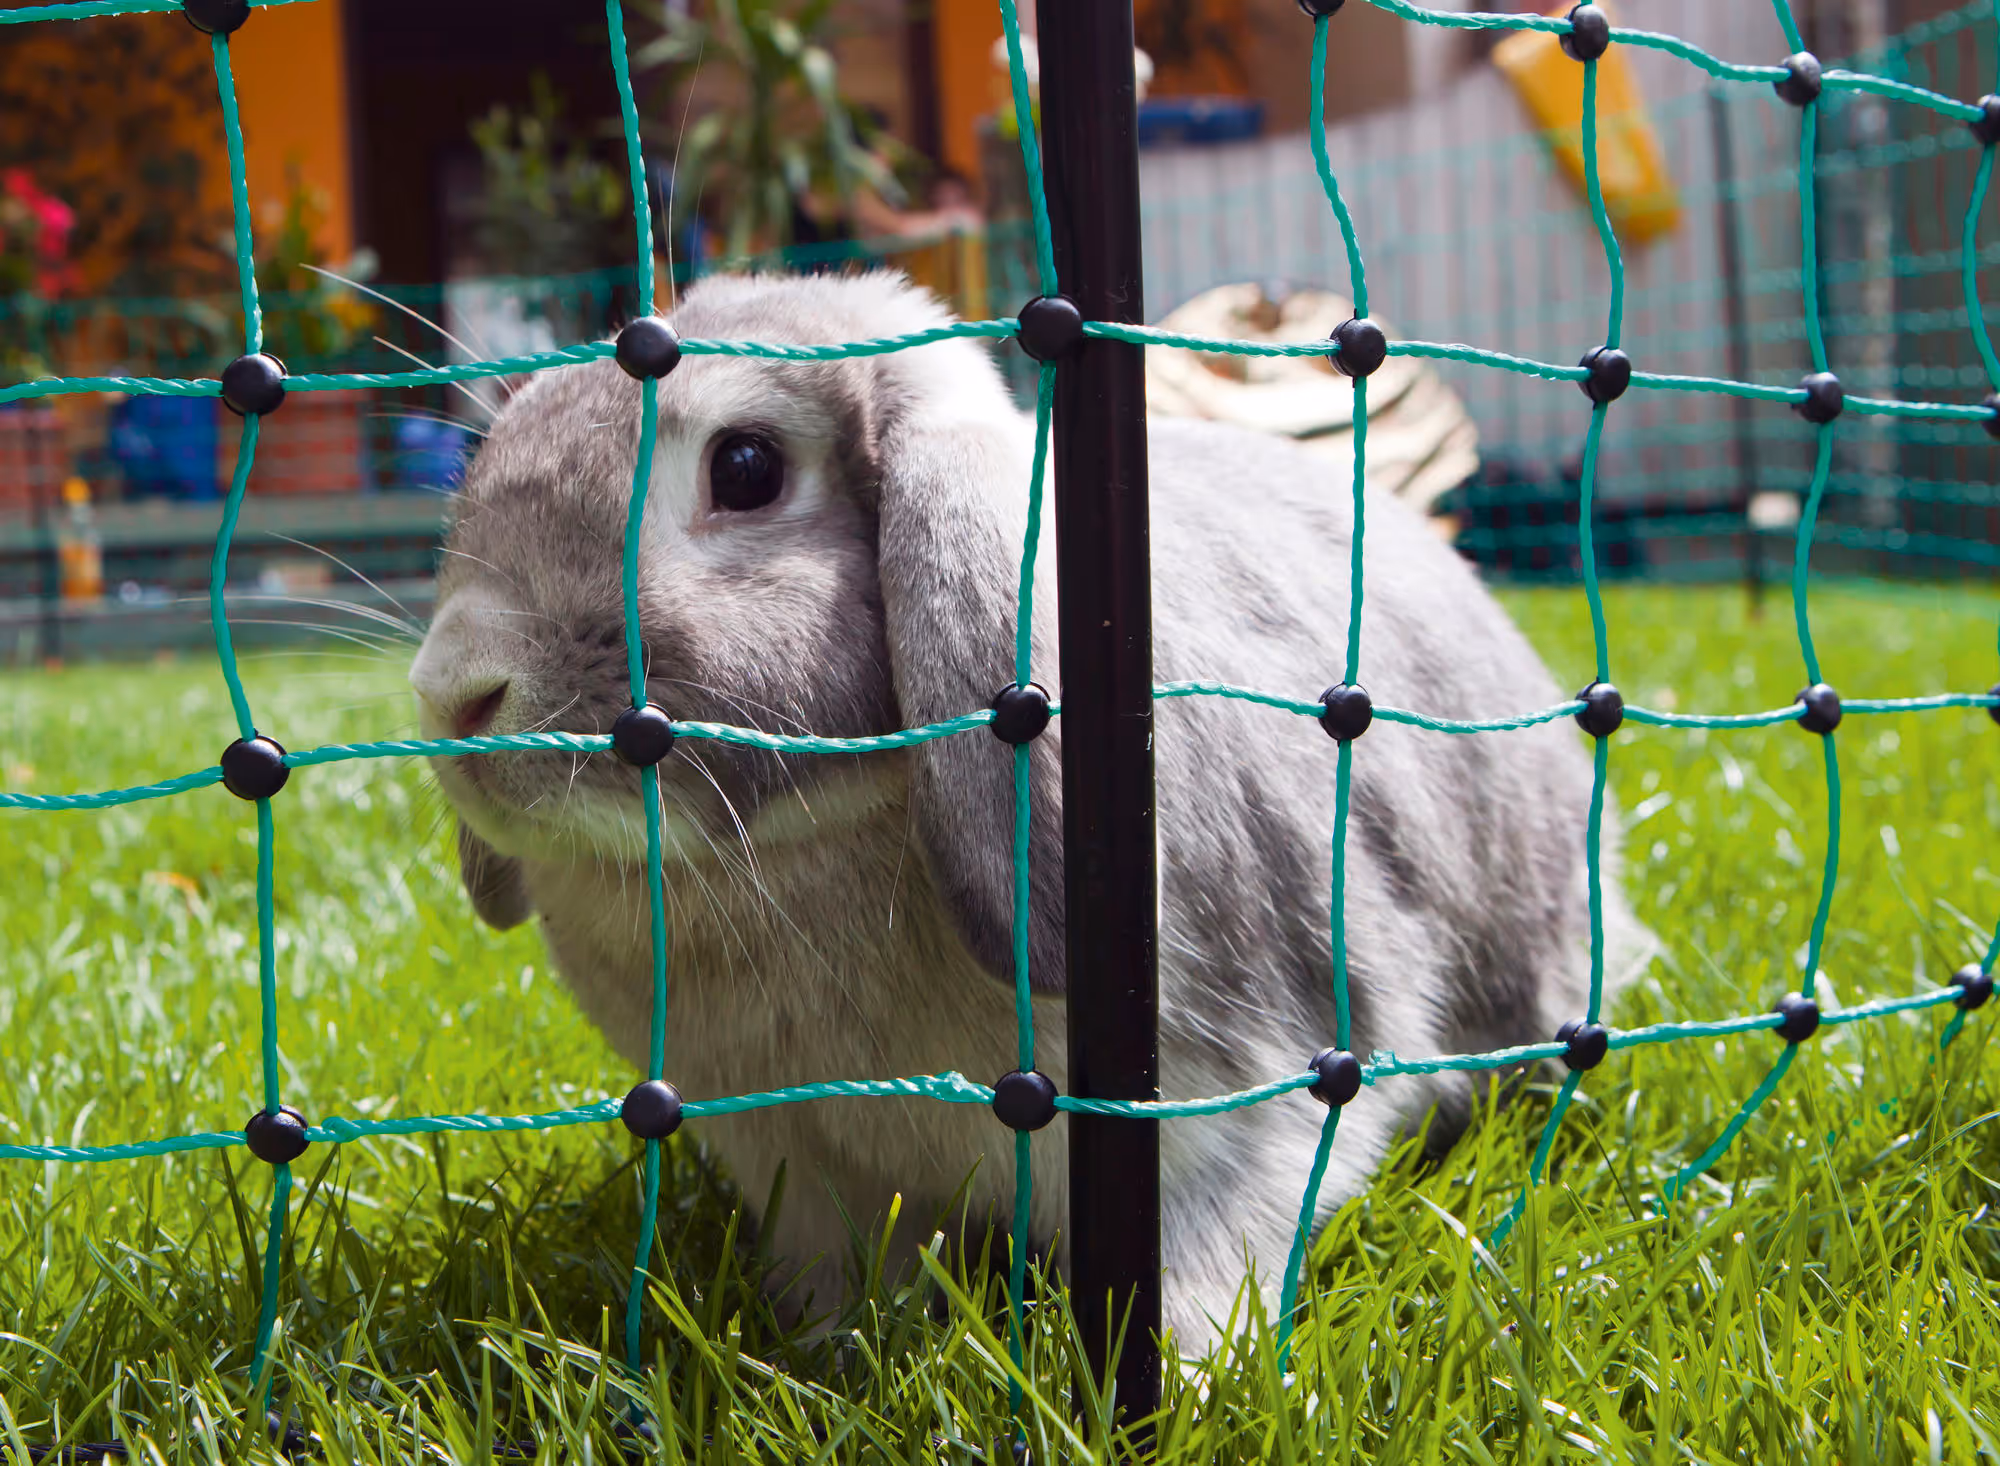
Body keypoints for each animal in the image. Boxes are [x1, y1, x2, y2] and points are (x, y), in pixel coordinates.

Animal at [407, 270, 1652, 1353]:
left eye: (748, 467)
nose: (454, 690)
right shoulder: (798, 1164)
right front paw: (825, 1353)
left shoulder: (1237, 1109)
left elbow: (1211, 1254)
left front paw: (1181, 1379)